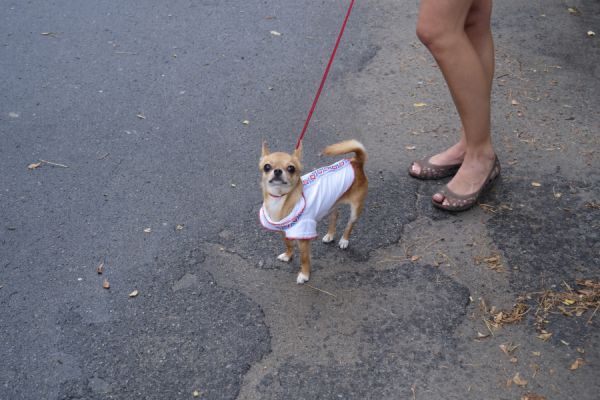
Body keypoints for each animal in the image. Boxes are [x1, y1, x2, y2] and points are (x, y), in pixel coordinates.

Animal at [259, 139, 368, 283]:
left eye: (291, 168)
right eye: (267, 167)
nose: (277, 171)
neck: (280, 199)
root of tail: (355, 162)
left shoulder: (304, 239)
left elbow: (304, 259)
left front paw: (304, 275)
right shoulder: (283, 230)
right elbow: (288, 244)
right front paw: (288, 255)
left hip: (355, 209)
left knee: (350, 224)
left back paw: (344, 240)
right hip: (331, 203)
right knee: (335, 216)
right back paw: (330, 235)